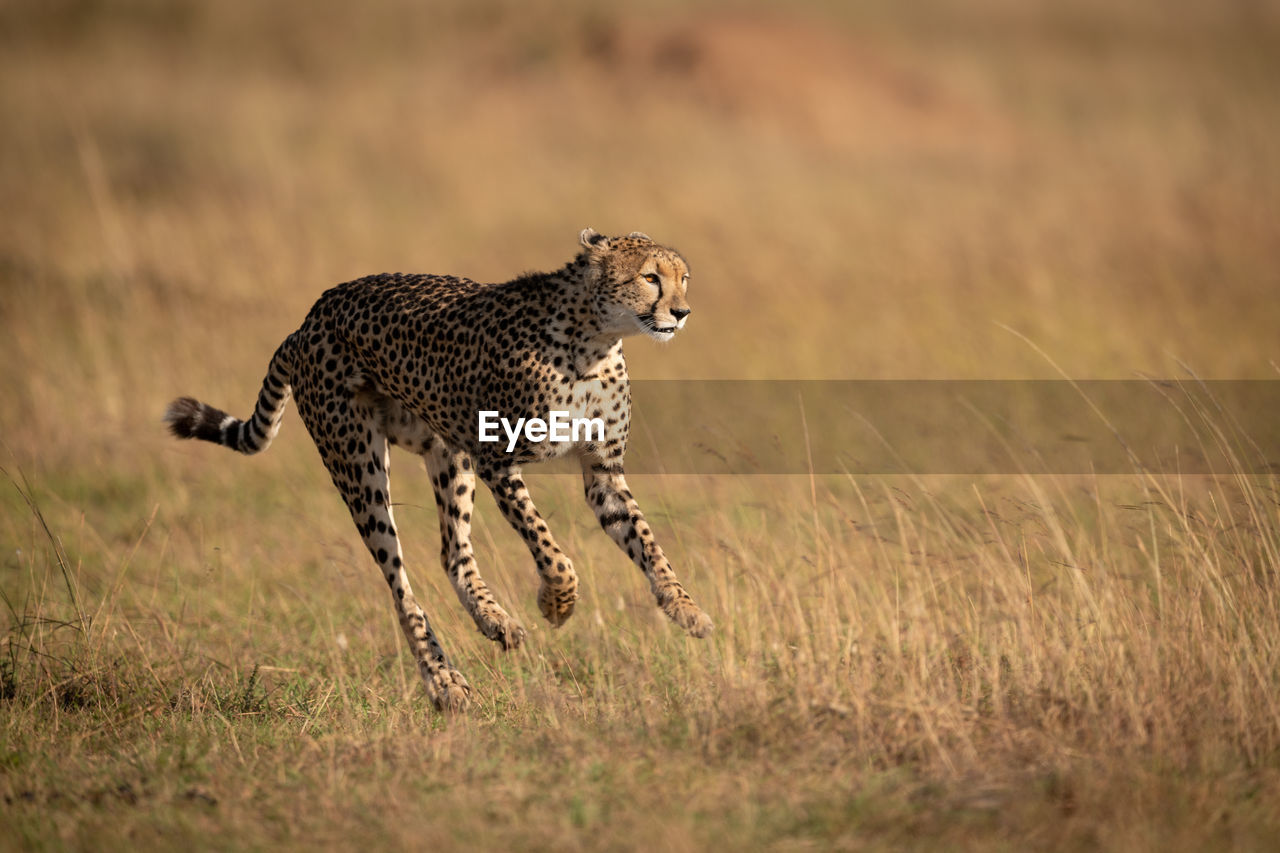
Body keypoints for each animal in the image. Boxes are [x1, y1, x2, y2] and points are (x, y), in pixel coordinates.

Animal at [162, 227, 711, 712]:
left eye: (683, 279)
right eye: (650, 278)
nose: (682, 312)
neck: (595, 340)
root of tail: (311, 316)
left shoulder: (602, 472)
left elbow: (647, 542)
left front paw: (685, 609)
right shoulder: (497, 458)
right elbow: (550, 549)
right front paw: (557, 602)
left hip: (447, 451)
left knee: (452, 552)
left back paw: (495, 621)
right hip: (358, 462)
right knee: (398, 581)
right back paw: (445, 682)